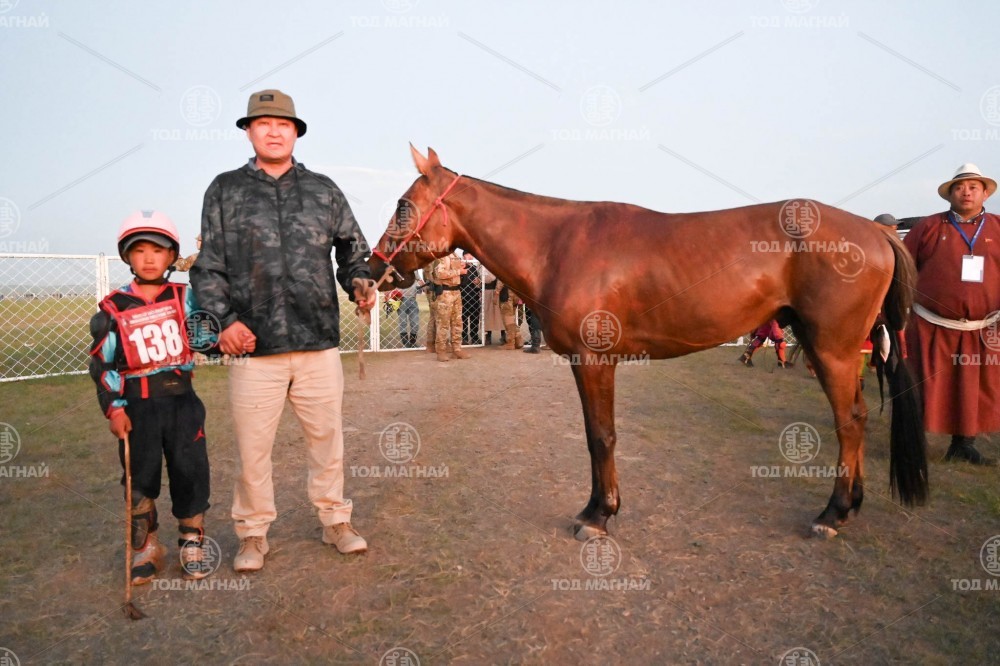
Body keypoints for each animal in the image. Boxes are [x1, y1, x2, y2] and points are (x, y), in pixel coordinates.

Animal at [368, 145, 928, 541]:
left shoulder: (595, 360)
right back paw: (851, 505)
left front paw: (598, 514)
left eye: (403, 206)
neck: (559, 245)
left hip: (831, 348)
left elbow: (601, 436)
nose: (373, 270)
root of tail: (877, 232)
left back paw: (833, 513)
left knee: (849, 421)